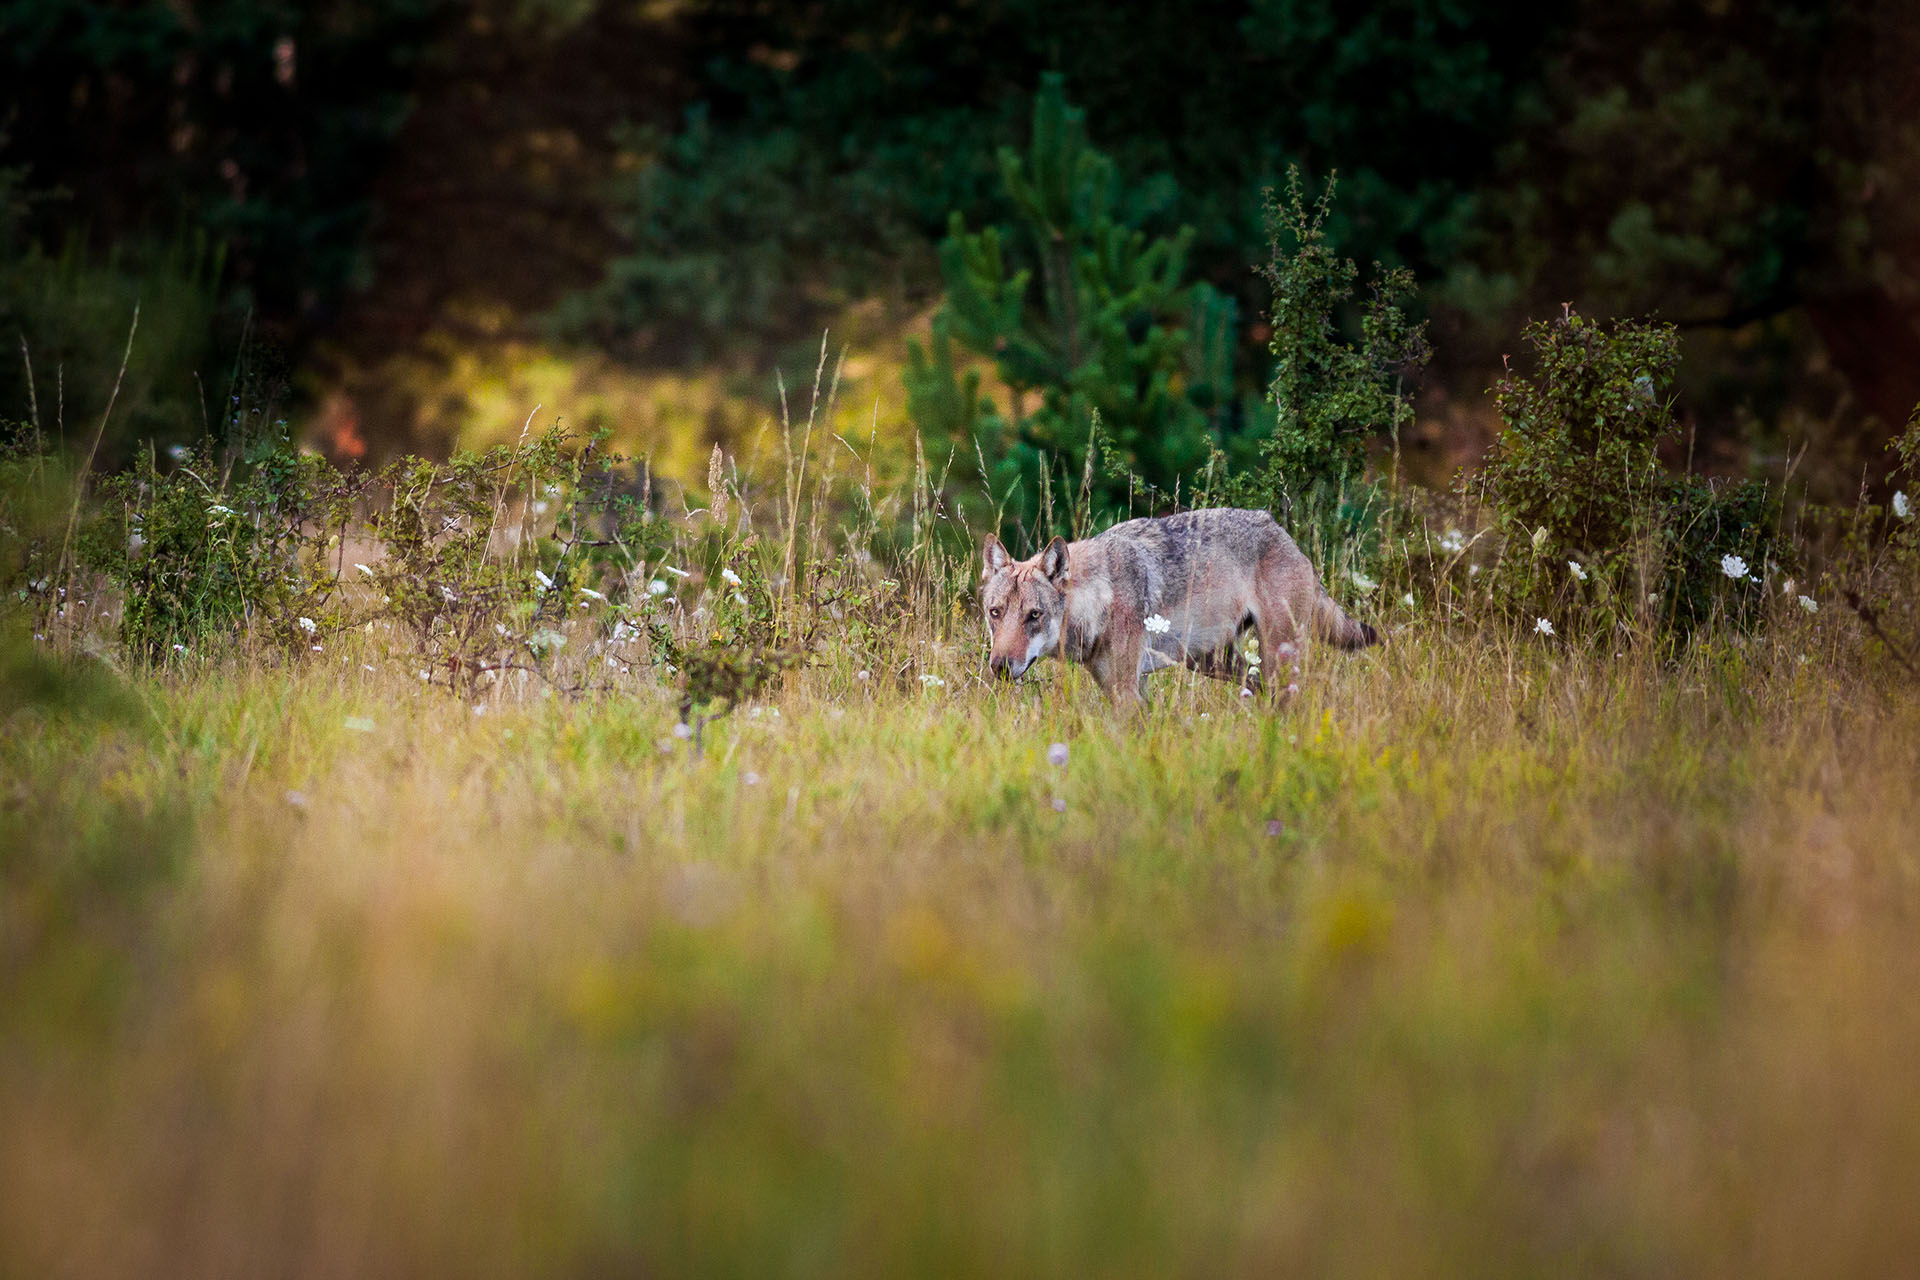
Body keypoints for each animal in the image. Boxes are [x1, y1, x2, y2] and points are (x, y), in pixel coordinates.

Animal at [983, 506, 1374, 710]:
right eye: (995, 613)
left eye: (1034, 615)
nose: (999, 667)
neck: (1097, 599)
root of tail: (1282, 532)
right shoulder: (1124, 688)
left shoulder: (1126, 690)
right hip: (1218, 663)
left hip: (1274, 657)